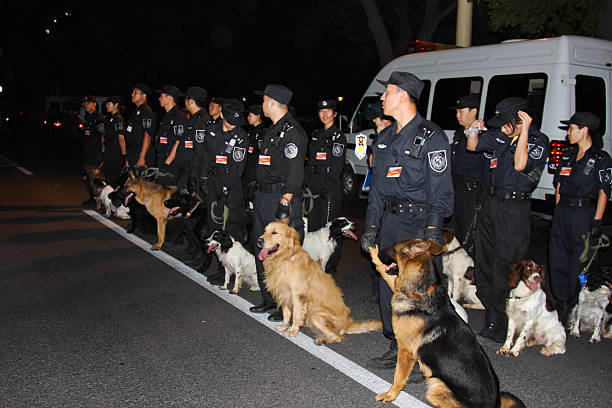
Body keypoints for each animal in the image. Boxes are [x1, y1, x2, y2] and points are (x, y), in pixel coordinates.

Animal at [366, 239, 524, 408]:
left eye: (393, 247)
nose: (380, 249)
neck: (422, 293)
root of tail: (495, 403)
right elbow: (385, 273)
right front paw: (373, 252)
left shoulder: (406, 352)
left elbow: (398, 377)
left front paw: (390, 395)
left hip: (436, 386)